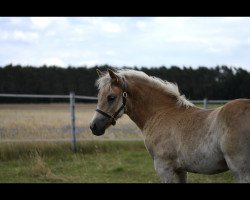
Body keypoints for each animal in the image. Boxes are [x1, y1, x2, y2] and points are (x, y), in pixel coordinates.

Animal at [89, 68, 250, 183]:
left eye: (111, 97)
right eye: (99, 96)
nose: (94, 126)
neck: (161, 113)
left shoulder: (164, 167)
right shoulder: (180, 170)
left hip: (240, 170)